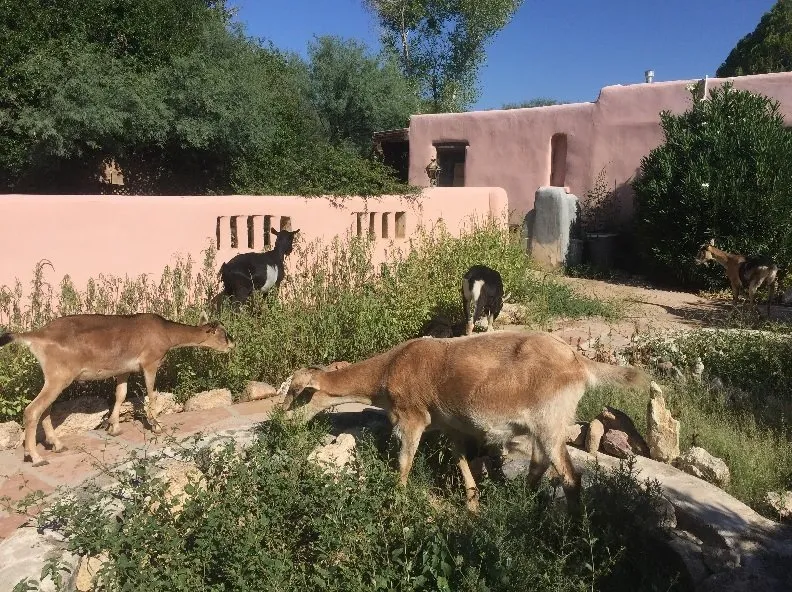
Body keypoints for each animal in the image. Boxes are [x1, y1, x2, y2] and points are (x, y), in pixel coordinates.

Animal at [0, 312, 234, 466]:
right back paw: (36, 457)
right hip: (58, 377)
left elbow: (120, 394)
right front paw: (157, 426)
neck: (165, 333)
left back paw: (57, 444)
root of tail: (36, 336)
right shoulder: (150, 363)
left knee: (44, 409)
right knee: (33, 410)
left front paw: (114, 427)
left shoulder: (124, 369)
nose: (233, 345)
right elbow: (152, 394)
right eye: (223, 334)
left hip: (53, 379)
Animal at [283, 330, 646, 512]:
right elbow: (459, 457)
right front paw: (472, 502)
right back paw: (522, 506)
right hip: (545, 428)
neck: (388, 371)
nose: (283, 425)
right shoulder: (450, 423)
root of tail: (579, 363)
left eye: (299, 396)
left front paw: (396, 501)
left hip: (550, 421)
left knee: (570, 477)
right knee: (539, 465)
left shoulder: (412, 418)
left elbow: (404, 462)